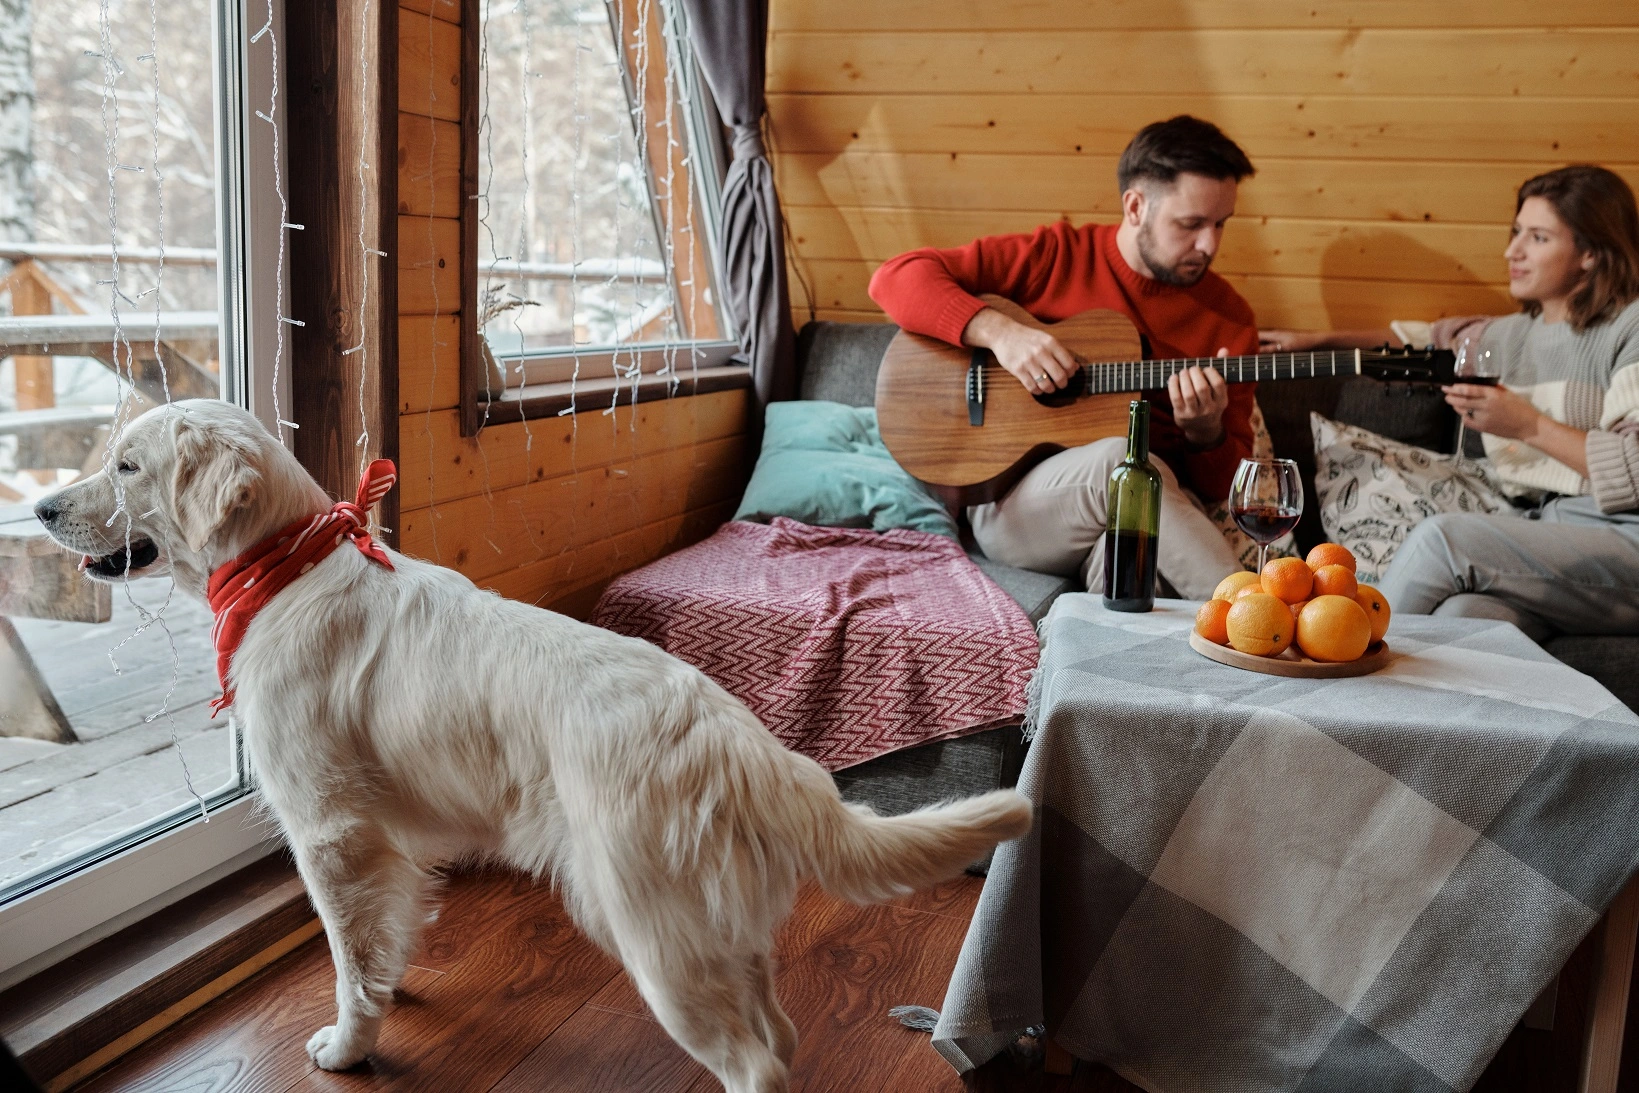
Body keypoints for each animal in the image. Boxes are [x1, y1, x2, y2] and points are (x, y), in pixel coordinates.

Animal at [31, 401, 1029, 1093]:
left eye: (126, 463)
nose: (38, 507)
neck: (285, 570)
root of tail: (743, 741)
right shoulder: (386, 838)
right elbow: (384, 938)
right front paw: (394, 989)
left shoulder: (330, 833)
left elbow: (348, 963)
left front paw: (351, 1044)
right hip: (718, 930)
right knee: (777, 1033)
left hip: (656, 937)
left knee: (757, 1063)